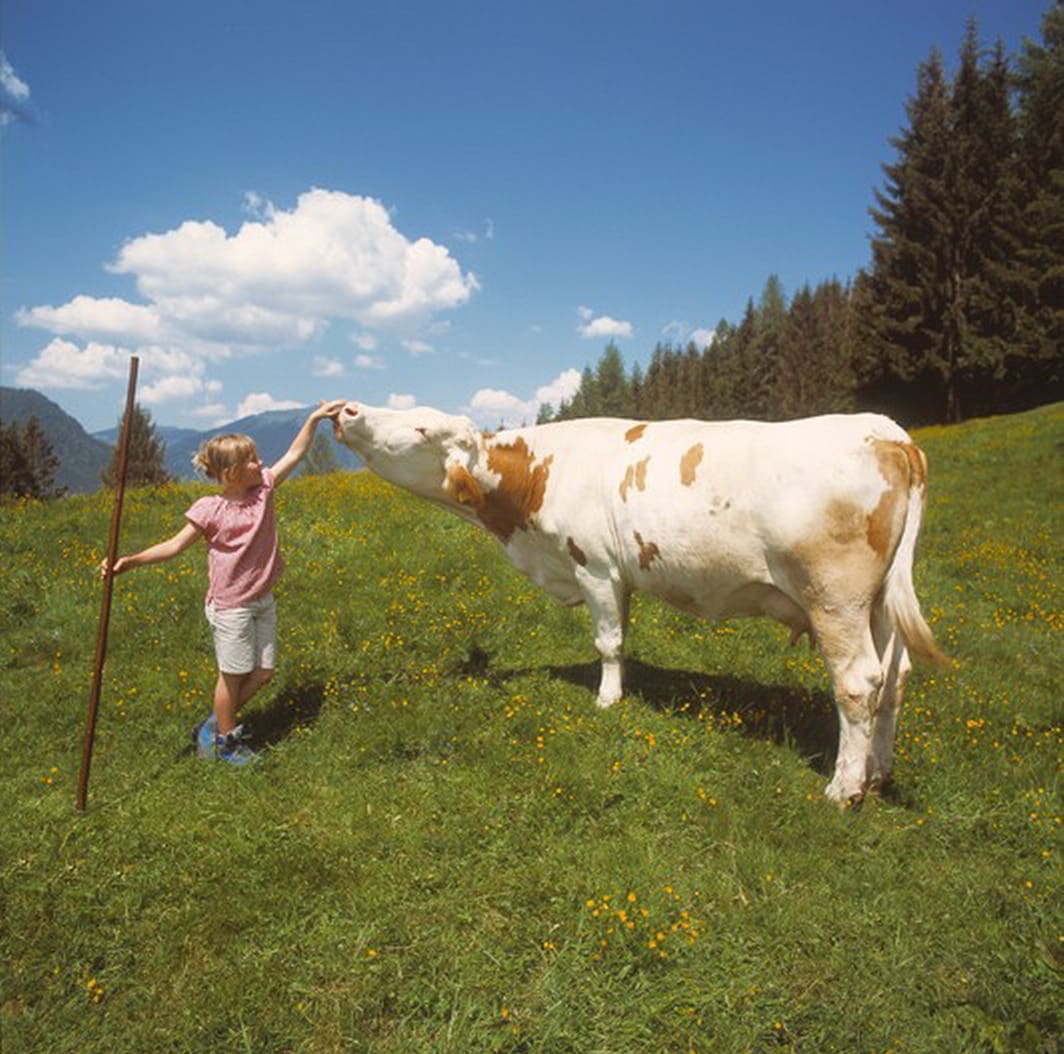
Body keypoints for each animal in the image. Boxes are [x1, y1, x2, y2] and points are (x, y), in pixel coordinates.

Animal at [334, 402, 948, 804]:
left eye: (419, 426)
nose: (347, 409)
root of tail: (887, 431)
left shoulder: (596, 567)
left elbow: (607, 641)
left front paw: (607, 700)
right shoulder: (620, 576)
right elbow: (622, 638)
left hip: (834, 599)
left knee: (858, 683)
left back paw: (844, 788)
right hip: (881, 604)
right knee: (895, 679)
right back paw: (878, 774)